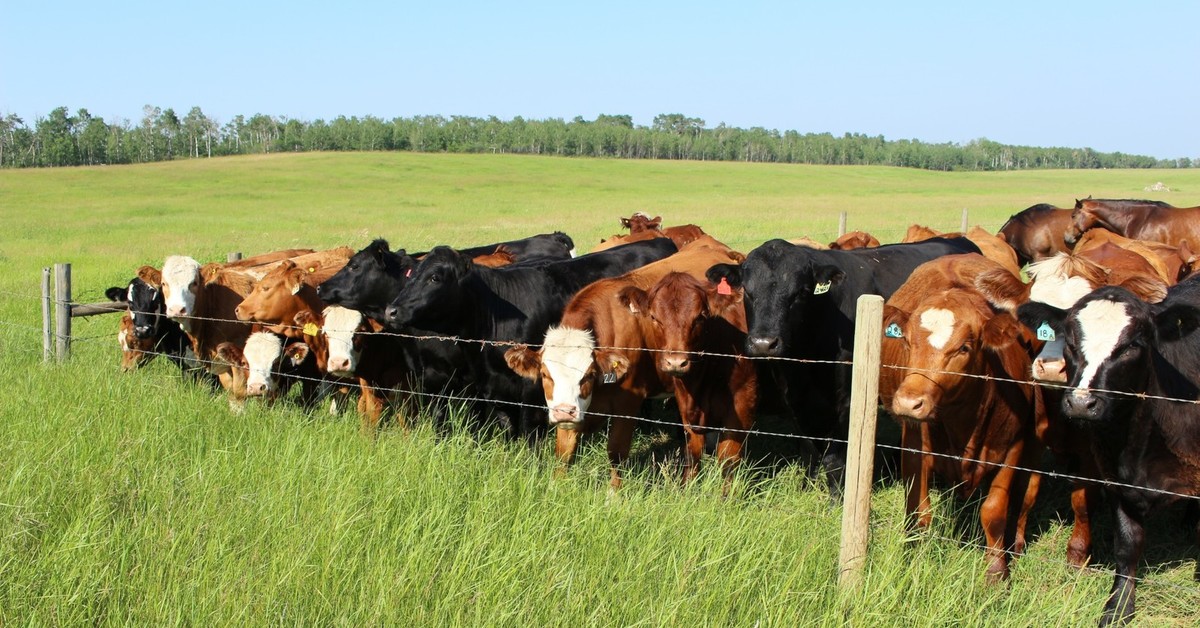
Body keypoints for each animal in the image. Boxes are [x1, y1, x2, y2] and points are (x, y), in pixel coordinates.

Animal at [499, 235, 739, 487]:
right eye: (545, 375)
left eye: (589, 374)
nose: (565, 412)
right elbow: (564, 452)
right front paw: (558, 486)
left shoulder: (628, 403)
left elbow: (616, 452)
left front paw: (614, 492)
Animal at [705, 235, 979, 497]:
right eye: (747, 291)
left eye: (801, 292)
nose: (764, 343)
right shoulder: (793, 398)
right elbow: (809, 450)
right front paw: (806, 487)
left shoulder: (847, 400)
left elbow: (835, 458)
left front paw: (835, 497)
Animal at [878, 254, 1046, 581]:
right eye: (908, 342)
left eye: (964, 347)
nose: (909, 402)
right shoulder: (914, 444)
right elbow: (918, 510)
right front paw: (914, 557)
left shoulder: (1013, 447)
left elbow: (994, 511)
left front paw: (996, 572)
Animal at [1017, 280, 1200, 628]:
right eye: (1070, 342)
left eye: (1131, 346)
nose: (1080, 403)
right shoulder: (1116, 481)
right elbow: (1127, 546)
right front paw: (1118, 607)